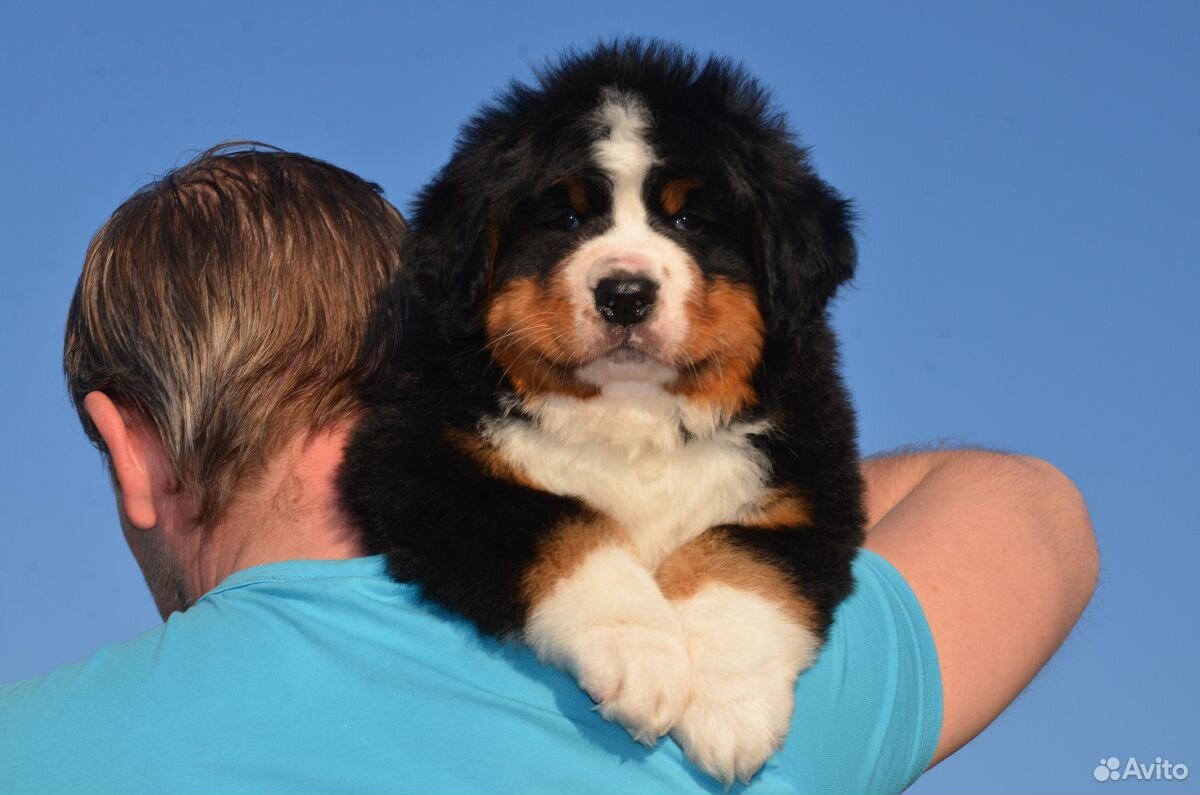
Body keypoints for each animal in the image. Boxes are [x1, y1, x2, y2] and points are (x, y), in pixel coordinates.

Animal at [343, 40, 868, 787]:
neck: (633, 414)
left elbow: (739, 561)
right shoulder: (422, 462)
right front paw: (641, 656)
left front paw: (731, 708)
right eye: (566, 219)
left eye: (688, 220)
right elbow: (568, 524)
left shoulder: (809, 491)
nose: (625, 294)